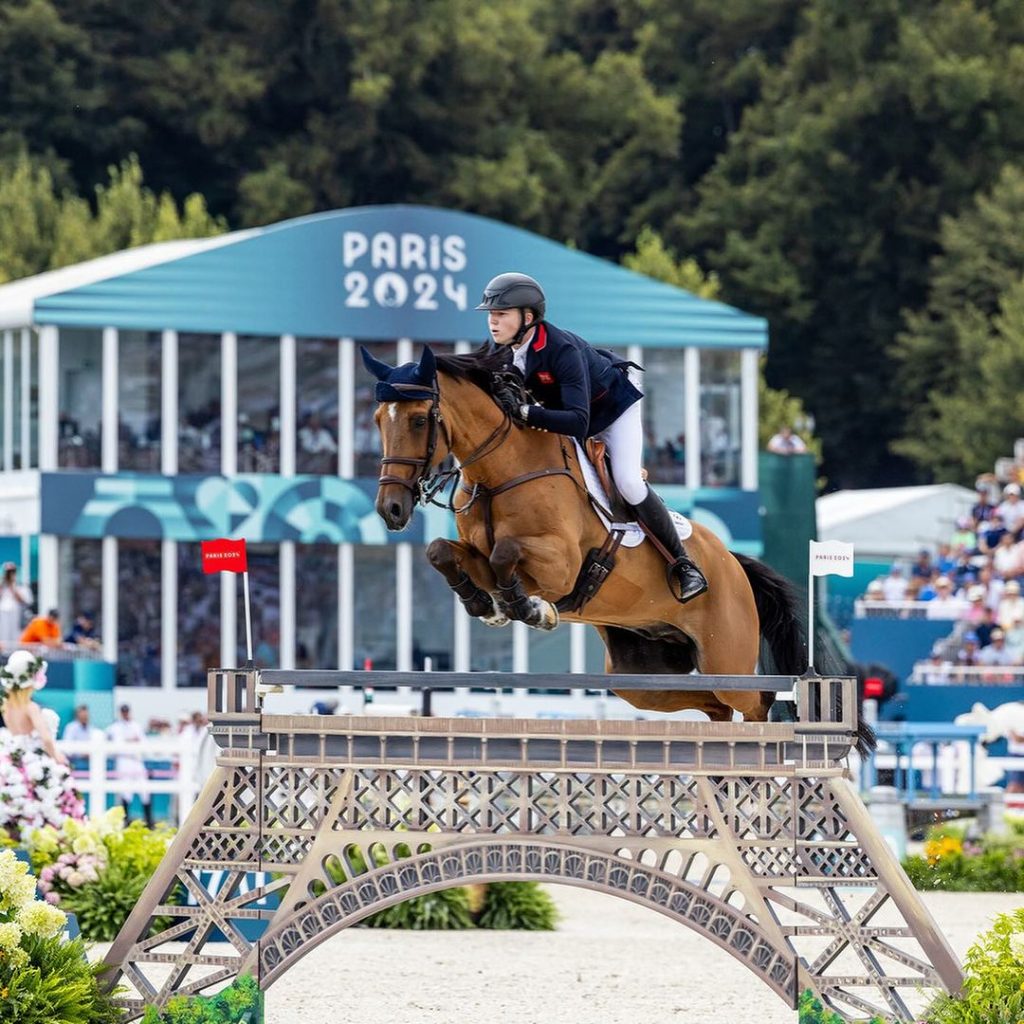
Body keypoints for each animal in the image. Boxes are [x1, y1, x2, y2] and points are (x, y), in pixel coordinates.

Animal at [360, 346, 815, 729]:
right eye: (379, 420)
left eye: (420, 420)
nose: (390, 509)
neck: (499, 473)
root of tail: (734, 563)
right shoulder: (477, 554)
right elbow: (442, 552)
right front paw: (485, 604)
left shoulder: (559, 566)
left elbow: (507, 554)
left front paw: (531, 609)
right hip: (640, 676)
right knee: (714, 705)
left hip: (725, 658)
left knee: (754, 701)